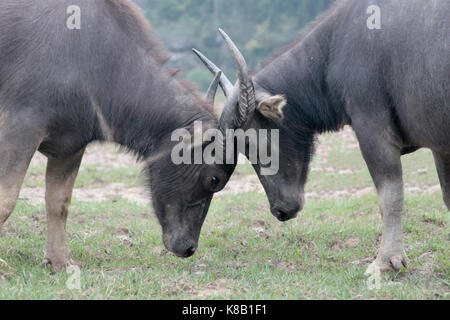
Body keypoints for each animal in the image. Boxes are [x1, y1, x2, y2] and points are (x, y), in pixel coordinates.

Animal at [0, 0, 237, 270]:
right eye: (215, 180)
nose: (188, 248)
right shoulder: (21, 128)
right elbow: (6, 199)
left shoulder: (71, 147)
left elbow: (59, 202)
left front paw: (60, 263)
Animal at [194, 0, 450, 276]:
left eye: (248, 144)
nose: (279, 210)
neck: (330, 52)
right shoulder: (440, 147)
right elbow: (447, 197)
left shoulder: (373, 131)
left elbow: (389, 196)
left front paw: (386, 261)